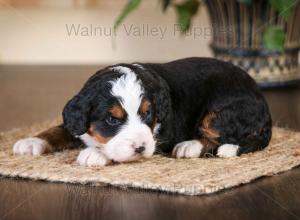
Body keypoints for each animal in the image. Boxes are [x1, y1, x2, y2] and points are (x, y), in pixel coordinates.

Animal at [12, 57, 274, 166]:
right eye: (111, 119)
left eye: (148, 114)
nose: (140, 147)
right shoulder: (77, 119)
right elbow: (59, 129)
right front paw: (31, 141)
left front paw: (95, 154)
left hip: (221, 112)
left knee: (224, 137)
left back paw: (189, 146)